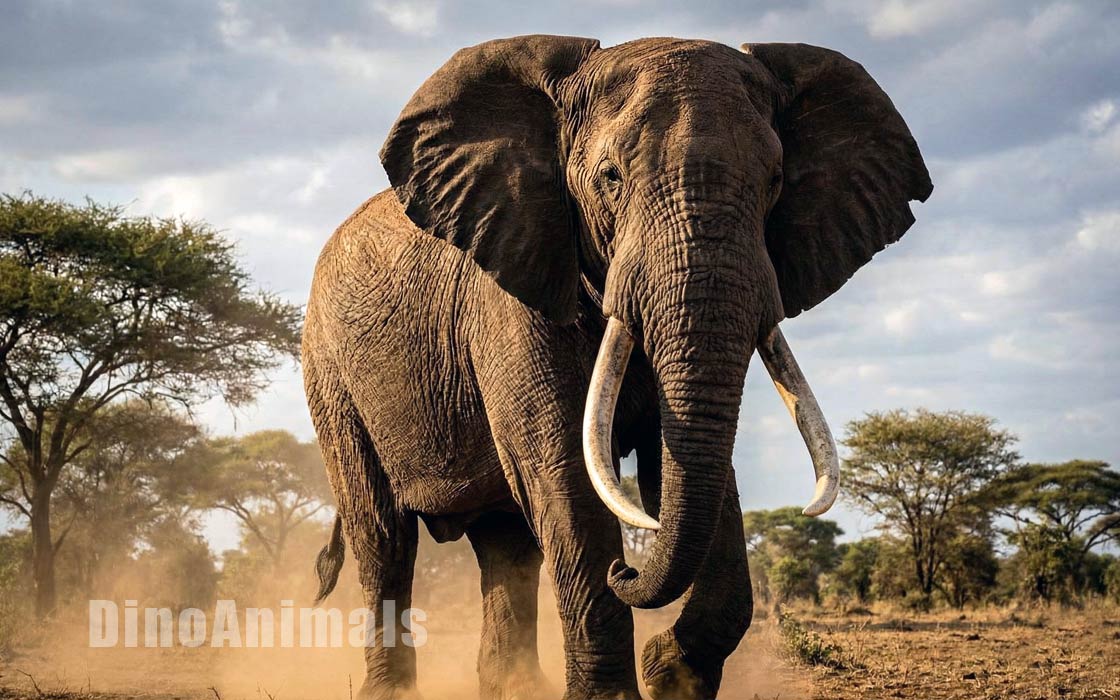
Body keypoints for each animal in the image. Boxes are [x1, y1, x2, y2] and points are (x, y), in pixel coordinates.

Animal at [303, 34, 931, 700]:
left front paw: (669, 676)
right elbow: (565, 475)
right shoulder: (510, 297)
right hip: (329, 376)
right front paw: (619, 689)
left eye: (777, 179)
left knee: (507, 548)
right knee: (384, 540)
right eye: (609, 177)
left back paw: (516, 687)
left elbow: (682, 468)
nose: (625, 569)